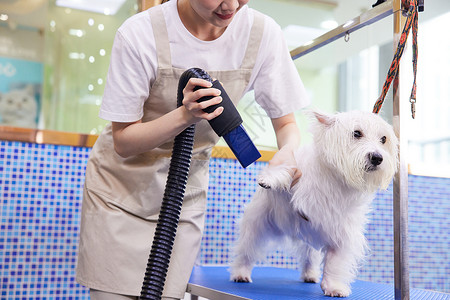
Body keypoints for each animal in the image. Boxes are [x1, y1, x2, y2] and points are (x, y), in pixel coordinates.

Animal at [230, 110, 400, 298]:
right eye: (357, 133)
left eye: (383, 139)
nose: (377, 157)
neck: (335, 180)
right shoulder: (296, 170)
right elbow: (286, 169)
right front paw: (271, 178)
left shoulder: (342, 231)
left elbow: (335, 262)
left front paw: (333, 287)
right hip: (258, 223)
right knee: (247, 249)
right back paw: (241, 273)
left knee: (309, 256)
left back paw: (310, 274)